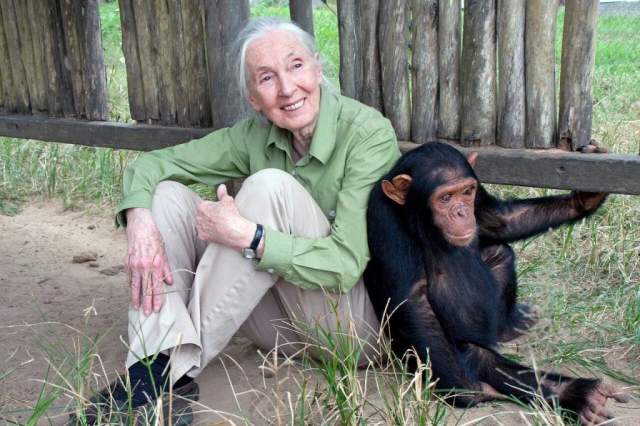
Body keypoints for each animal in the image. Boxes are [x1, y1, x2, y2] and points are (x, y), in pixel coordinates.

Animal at [362, 142, 628, 422]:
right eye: (445, 198)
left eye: (466, 192)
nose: (461, 212)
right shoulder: (384, 218)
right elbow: (413, 299)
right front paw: (465, 390)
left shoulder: (479, 195)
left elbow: (498, 220)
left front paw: (585, 198)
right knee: (476, 355)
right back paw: (571, 394)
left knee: (500, 254)